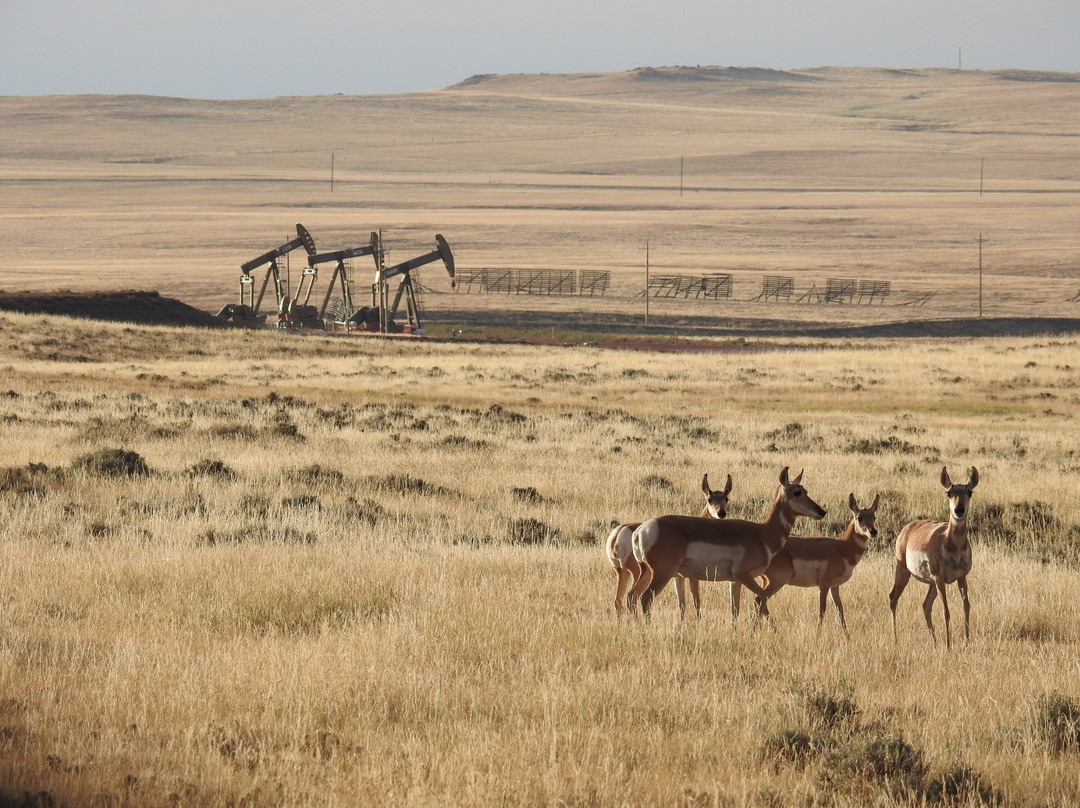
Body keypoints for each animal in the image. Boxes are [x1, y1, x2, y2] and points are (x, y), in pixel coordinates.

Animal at [604, 470, 730, 613]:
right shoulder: (692, 577)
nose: (721, 513)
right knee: (636, 597)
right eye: (709, 499)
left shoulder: (678, 577)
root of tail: (619, 532)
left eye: (726, 498)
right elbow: (696, 600)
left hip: (623, 573)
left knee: (620, 600)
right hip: (641, 573)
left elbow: (682, 603)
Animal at [630, 464, 820, 622]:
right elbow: (762, 599)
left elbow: (735, 610)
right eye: (797, 492)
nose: (821, 511)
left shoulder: (734, 581)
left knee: (632, 596)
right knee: (645, 598)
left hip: (647, 572)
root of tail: (641, 530)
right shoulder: (744, 576)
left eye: (806, 490)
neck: (762, 533)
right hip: (663, 573)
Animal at [756, 492, 881, 630]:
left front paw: (847, 634)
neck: (841, 548)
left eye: (874, 517)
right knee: (760, 599)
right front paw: (818, 633)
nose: (873, 532)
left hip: (766, 581)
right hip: (778, 581)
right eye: (859, 517)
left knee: (761, 601)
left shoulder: (834, 586)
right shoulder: (824, 585)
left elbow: (840, 610)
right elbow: (822, 610)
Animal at [889, 466, 976, 648]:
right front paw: (949, 645)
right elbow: (946, 611)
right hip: (904, 572)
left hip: (931, 583)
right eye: (949, 492)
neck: (951, 544)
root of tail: (908, 528)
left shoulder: (962, 578)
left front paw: (966, 642)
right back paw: (895, 639)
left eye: (969, 492)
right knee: (893, 598)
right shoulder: (940, 579)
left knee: (926, 605)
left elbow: (966, 606)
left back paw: (934, 642)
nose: (959, 510)